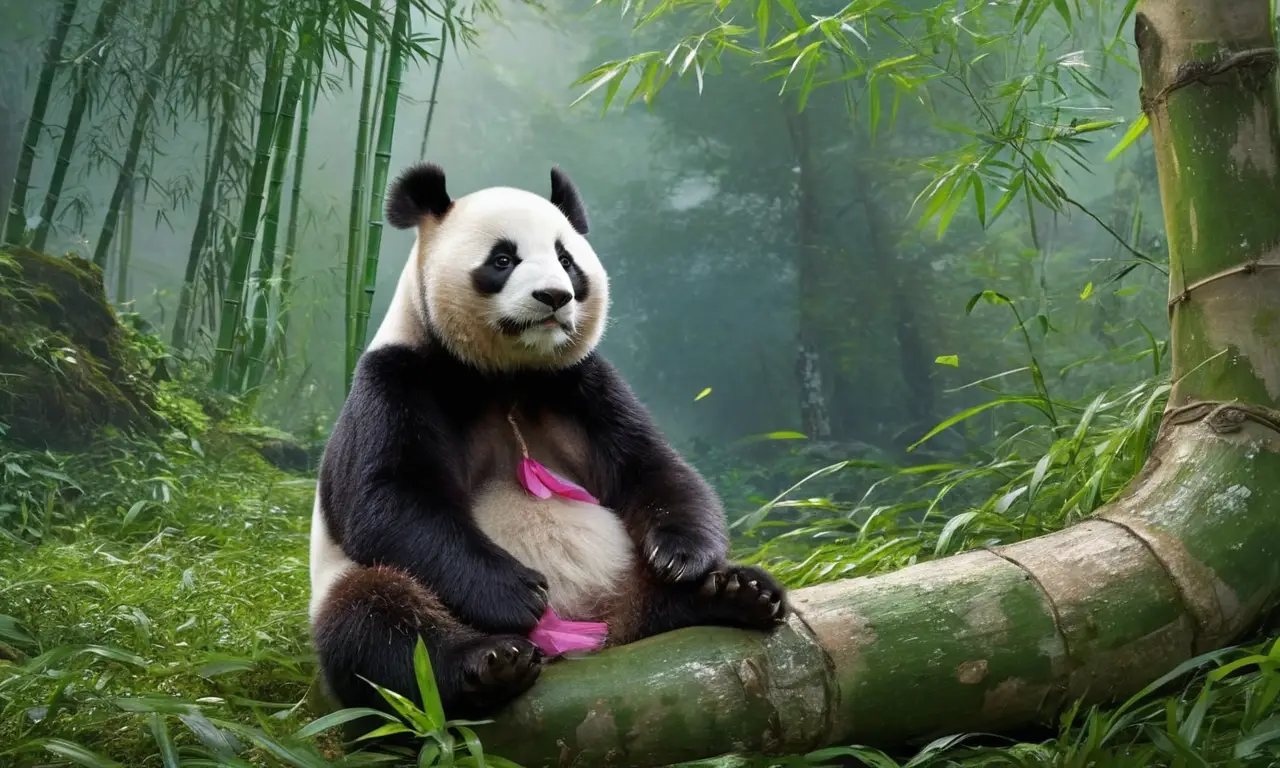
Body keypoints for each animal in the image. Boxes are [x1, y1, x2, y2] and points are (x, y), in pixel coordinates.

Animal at [308, 162, 788, 722]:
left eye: (566, 259)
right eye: (503, 259)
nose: (555, 296)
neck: (506, 377)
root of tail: (597, 638)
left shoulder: (581, 384)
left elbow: (651, 466)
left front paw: (682, 554)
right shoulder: (396, 380)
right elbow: (390, 499)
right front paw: (517, 593)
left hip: (624, 578)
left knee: (661, 603)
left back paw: (736, 592)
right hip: (356, 587)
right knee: (377, 619)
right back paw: (489, 663)